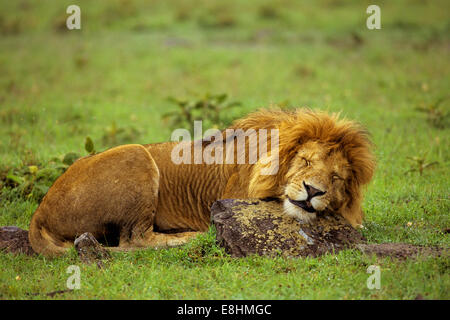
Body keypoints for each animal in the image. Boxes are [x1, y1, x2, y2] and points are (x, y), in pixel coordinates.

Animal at [29, 109, 376, 256]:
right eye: (304, 161)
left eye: (335, 178)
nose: (313, 190)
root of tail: (39, 213)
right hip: (136, 154)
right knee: (134, 241)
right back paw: (194, 236)